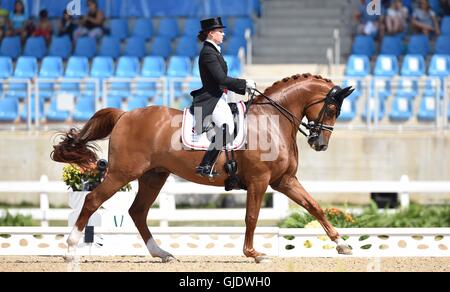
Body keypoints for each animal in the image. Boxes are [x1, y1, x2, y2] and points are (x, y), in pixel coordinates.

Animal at [52, 73, 354, 262]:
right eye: (331, 110)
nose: (319, 144)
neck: (273, 120)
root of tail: (125, 114)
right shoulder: (260, 181)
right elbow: (252, 217)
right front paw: (253, 253)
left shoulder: (284, 180)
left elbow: (314, 207)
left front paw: (342, 245)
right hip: (122, 173)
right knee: (93, 200)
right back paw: (70, 249)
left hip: (153, 176)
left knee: (137, 212)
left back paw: (161, 253)